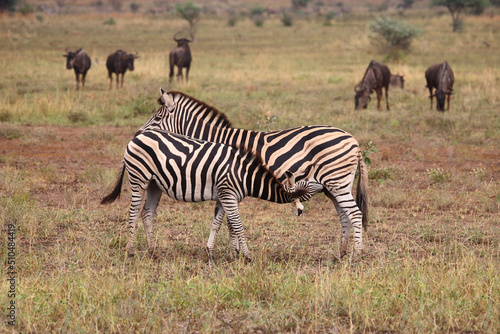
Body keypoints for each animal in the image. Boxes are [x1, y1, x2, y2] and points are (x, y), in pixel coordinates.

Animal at [100, 129, 320, 262]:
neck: (245, 175)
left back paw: (153, 251)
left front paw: (217, 253)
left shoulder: (224, 196)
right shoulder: (228, 194)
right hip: (139, 178)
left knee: (146, 213)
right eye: (311, 184)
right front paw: (247, 256)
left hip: (155, 184)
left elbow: (221, 224)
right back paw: (130, 252)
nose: (325, 186)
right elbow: (237, 225)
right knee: (133, 213)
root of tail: (139, 135)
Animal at [135, 88, 370, 258]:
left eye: (156, 119)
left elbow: (228, 221)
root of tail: (354, 140)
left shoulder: (226, 180)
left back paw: (356, 256)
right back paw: (341, 254)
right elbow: (225, 220)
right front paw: (230, 252)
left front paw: (234, 253)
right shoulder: (225, 184)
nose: (138, 134)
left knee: (355, 214)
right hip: (334, 186)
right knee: (344, 215)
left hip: (337, 183)